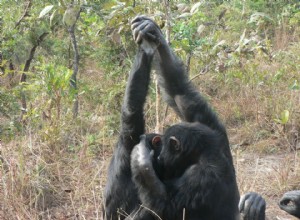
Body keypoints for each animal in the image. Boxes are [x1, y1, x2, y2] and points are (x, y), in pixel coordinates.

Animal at [103, 15, 264, 220]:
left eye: (164, 148)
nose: (159, 158)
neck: (202, 154)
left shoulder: (200, 178)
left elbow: (164, 205)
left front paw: (141, 158)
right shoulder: (211, 128)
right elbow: (180, 92)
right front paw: (151, 37)